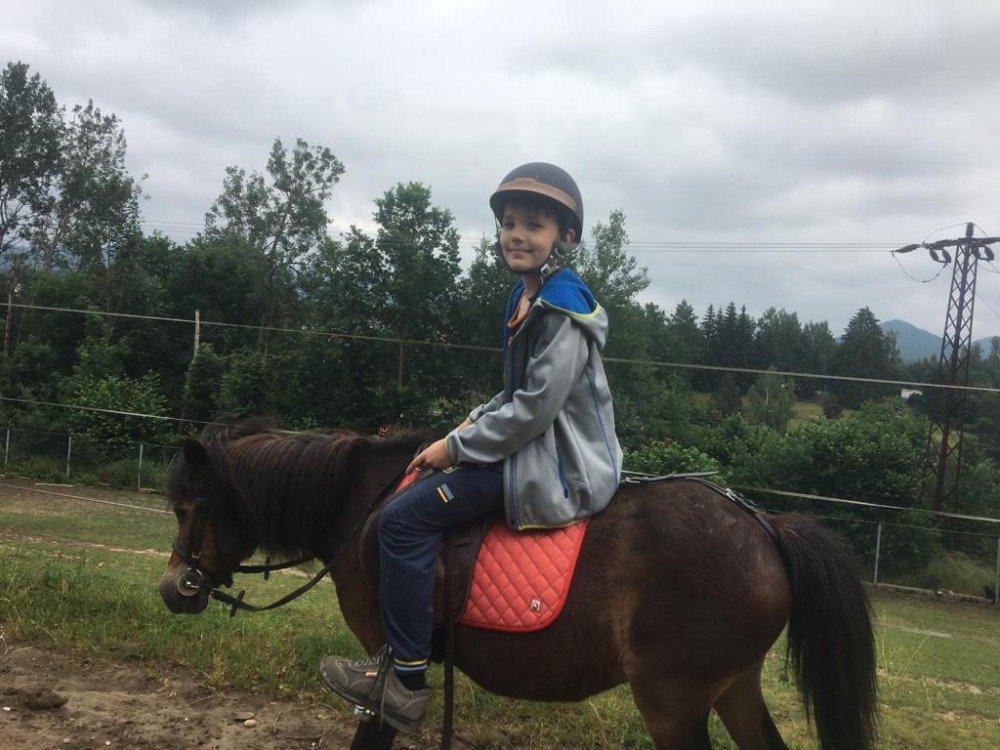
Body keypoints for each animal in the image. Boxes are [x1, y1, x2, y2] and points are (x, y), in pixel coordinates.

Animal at [158, 420, 878, 750]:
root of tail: (764, 525)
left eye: (192, 507)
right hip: (732, 686)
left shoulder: (385, 669)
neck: (364, 508)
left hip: (674, 702)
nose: (172, 590)